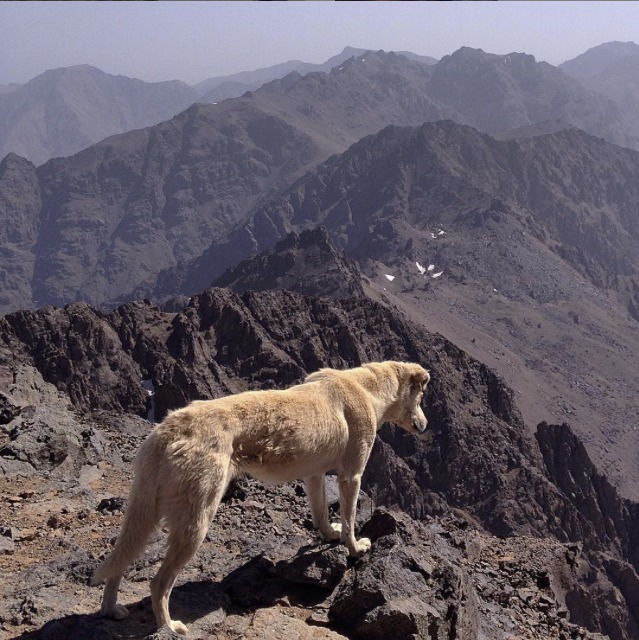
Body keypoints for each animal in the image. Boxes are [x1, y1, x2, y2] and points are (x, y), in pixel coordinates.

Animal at [92, 360, 432, 636]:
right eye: (421, 397)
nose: (426, 425)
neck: (368, 387)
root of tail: (167, 431)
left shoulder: (315, 475)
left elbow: (321, 511)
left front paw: (328, 534)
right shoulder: (351, 475)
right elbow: (349, 520)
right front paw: (355, 548)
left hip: (142, 510)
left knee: (119, 559)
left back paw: (110, 609)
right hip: (196, 520)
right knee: (159, 583)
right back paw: (168, 625)